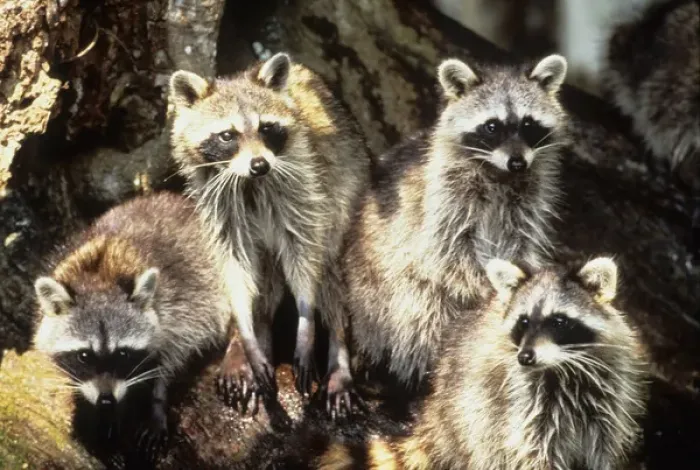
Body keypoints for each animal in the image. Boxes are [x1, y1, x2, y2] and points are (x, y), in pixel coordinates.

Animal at [32, 192, 231, 447]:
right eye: (84, 355)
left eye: (123, 354)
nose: (106, 400)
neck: (101, 274)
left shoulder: (183, 304)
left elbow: (173, 355)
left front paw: (157, 399)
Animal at [168, 52, 371, 412]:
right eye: (227, 135)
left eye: (266, 128)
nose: (260, 165)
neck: (248, 182)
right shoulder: (220, 206)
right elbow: (234, 268)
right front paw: (245, 333)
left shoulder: (303, 187)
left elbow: (304, 254)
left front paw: (307, 325)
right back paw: (247, 339)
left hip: (348, 188)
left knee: (330, 269)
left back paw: (339, 351)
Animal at [314, 258, 649, 470]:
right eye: (523, 321)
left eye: (559, 321)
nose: (525, 357)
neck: (563, 367)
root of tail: (435, 417)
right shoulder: (523, 405)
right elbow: (533, 451)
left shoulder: (607, 402)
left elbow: (604, 450)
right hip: (472, 417)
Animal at [344, 54, 568, 386]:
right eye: (492, 127)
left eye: (528, 124)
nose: (517, 162)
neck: (499, 174)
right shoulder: (442, 199)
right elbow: (449, 251)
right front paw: (486, 289)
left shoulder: (528, 202)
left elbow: (521, 245)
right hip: (382, 287)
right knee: (420, 313)